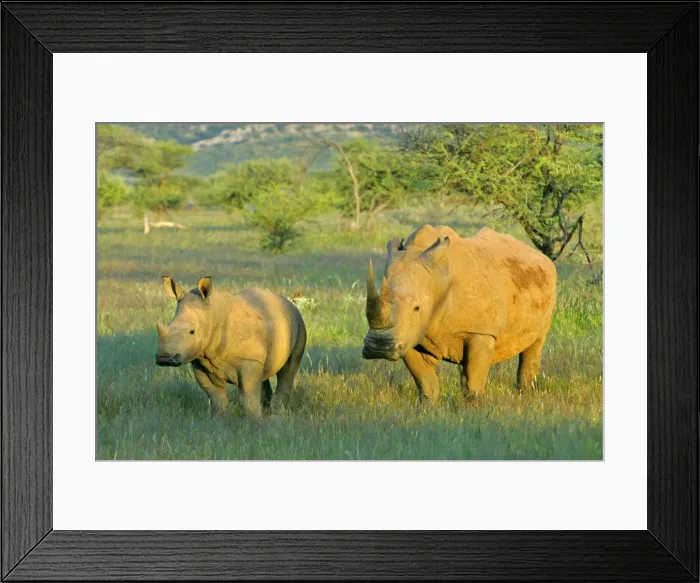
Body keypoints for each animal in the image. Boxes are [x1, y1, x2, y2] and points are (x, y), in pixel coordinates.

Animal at [156, 276, 306, 419]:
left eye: (192, 332)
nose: (164, 358)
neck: (212, 316)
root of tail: (289, 303)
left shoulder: (249, 359)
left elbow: (248, 392)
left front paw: (253, 421)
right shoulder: (200, 361)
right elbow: (215, 395)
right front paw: (220, 419)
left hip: (298, 322)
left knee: (289, 368)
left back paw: (277, 414)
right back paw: (267, 410)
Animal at [362, 225, 557, 403]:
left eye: (417, 307)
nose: (378, 347)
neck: (438, 279)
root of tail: (543, 257)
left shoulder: (481, 331)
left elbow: (473, 380)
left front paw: (475, 408)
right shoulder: (410, 333)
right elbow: (425, 381)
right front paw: (427, 407)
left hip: (547, 283)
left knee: (535, 344)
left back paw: (526, 394)